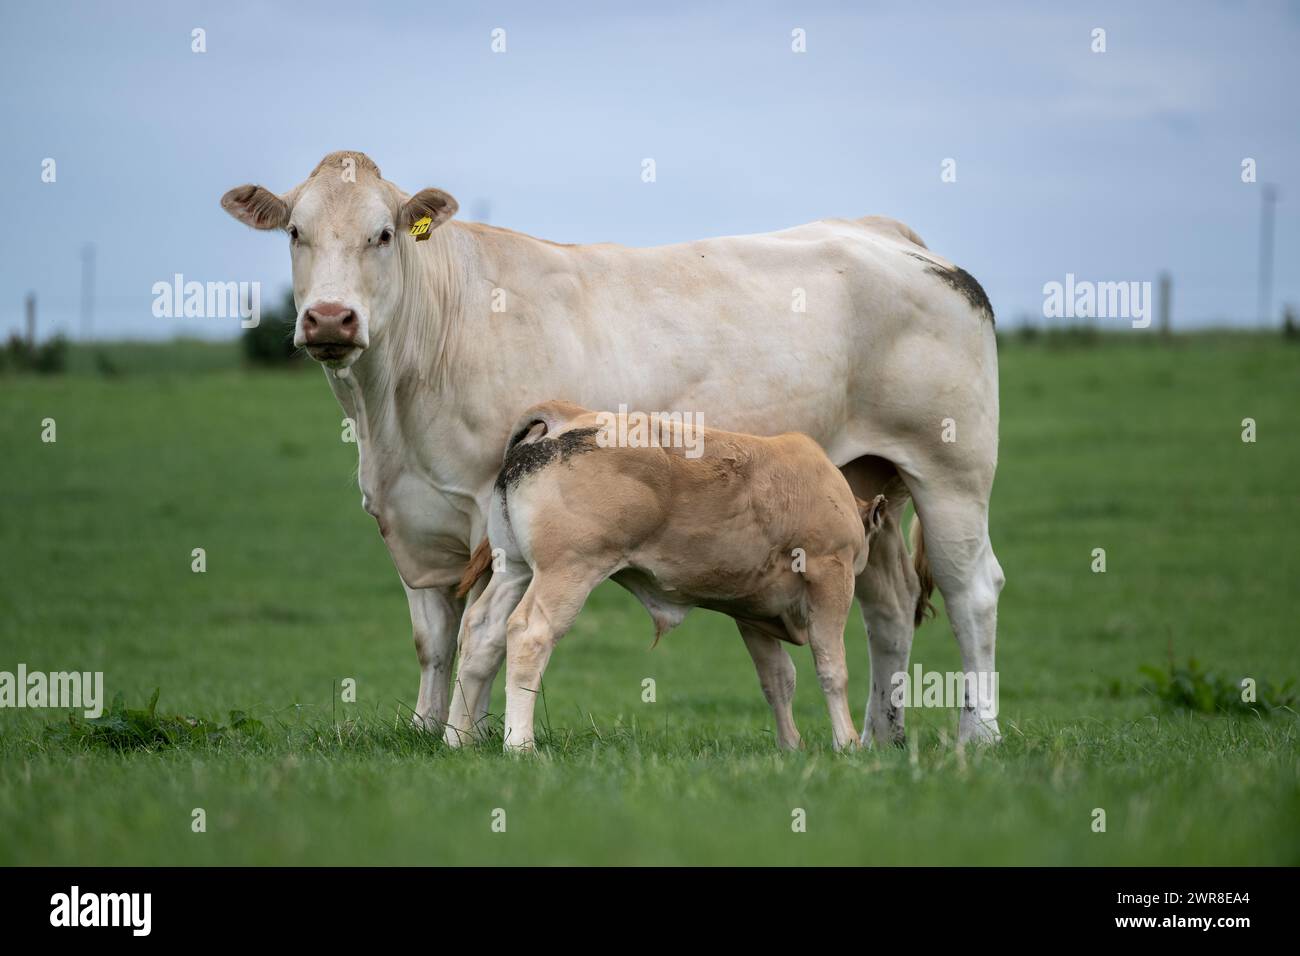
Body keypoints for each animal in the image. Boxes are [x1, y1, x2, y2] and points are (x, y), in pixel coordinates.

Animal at [446, 400, 891, 752]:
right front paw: (848, 743)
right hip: (567, 570)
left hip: (514, 568)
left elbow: (777, 679)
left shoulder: (751, 609)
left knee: (481, 632)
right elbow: (832, 669)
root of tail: (565, 417)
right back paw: (521, 745)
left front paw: (790, 746)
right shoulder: (830, 574)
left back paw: (457, 738)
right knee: (528, 634)